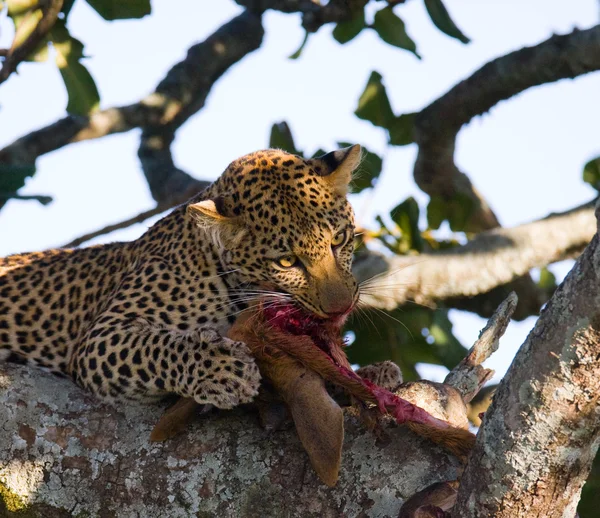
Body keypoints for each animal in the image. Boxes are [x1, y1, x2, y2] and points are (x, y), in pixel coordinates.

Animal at [0, 145, 372, 410]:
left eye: (339, 239)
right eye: (286, 261)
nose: (341, 308)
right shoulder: (100, 335)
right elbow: (153, 347)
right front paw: (222, 368)